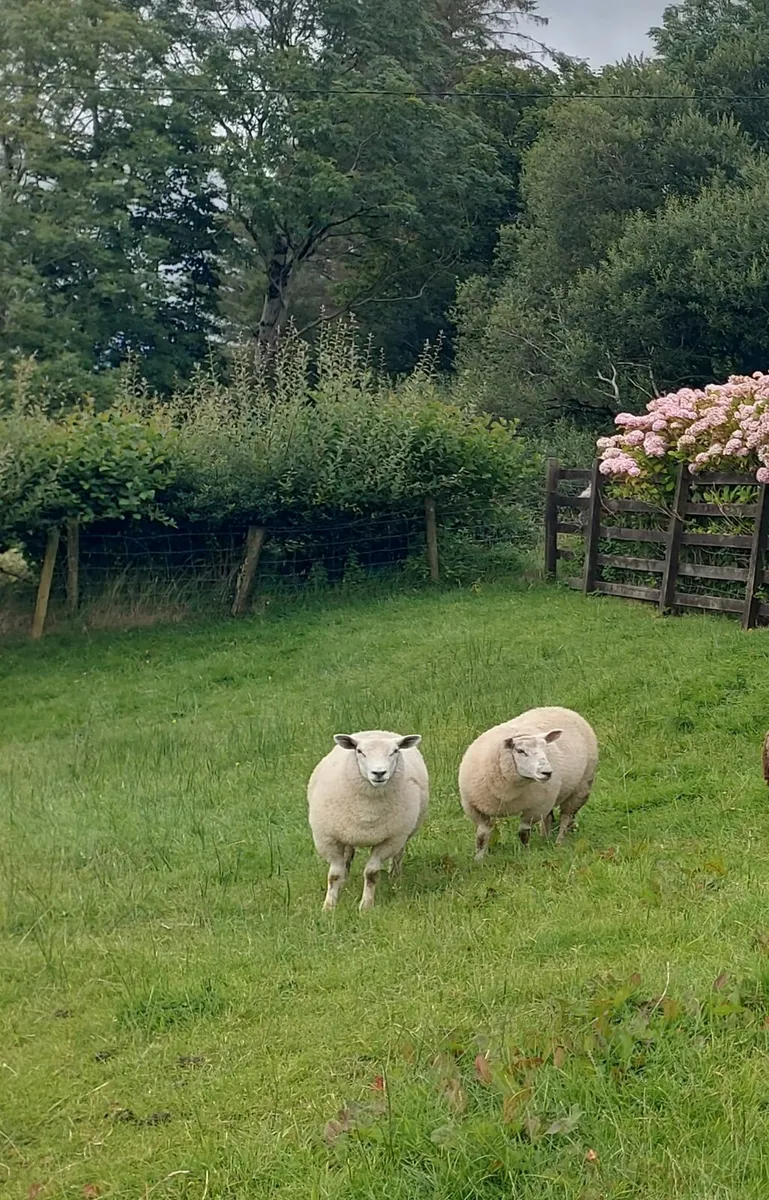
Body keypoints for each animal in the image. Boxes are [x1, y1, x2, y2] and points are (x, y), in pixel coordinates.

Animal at [308, 730, 429, 911]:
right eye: (360, 751)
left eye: (395, 751)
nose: (379, 773)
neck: (367, 812)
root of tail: (380, 731)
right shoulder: (328, 839)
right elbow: (334, 876)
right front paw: (329, 907)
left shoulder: (389, 840)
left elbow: (371, 873)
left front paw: (366, 906)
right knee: (348, 856)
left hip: (404, 833)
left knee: (398, 854)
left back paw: (395, 876)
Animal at [458, 706, 598, 861]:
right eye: (520, 751)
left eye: (545, 749)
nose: (547, 772)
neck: (507, 795)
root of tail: (561, 708)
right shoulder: (475, 809)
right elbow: (482, 836)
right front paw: (479, 859)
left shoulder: (535, 808)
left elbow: (523, 833)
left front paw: (525, 853)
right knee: (549, 817)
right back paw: (545, 838)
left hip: (581, 787)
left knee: (566, 817)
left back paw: (559, 842)